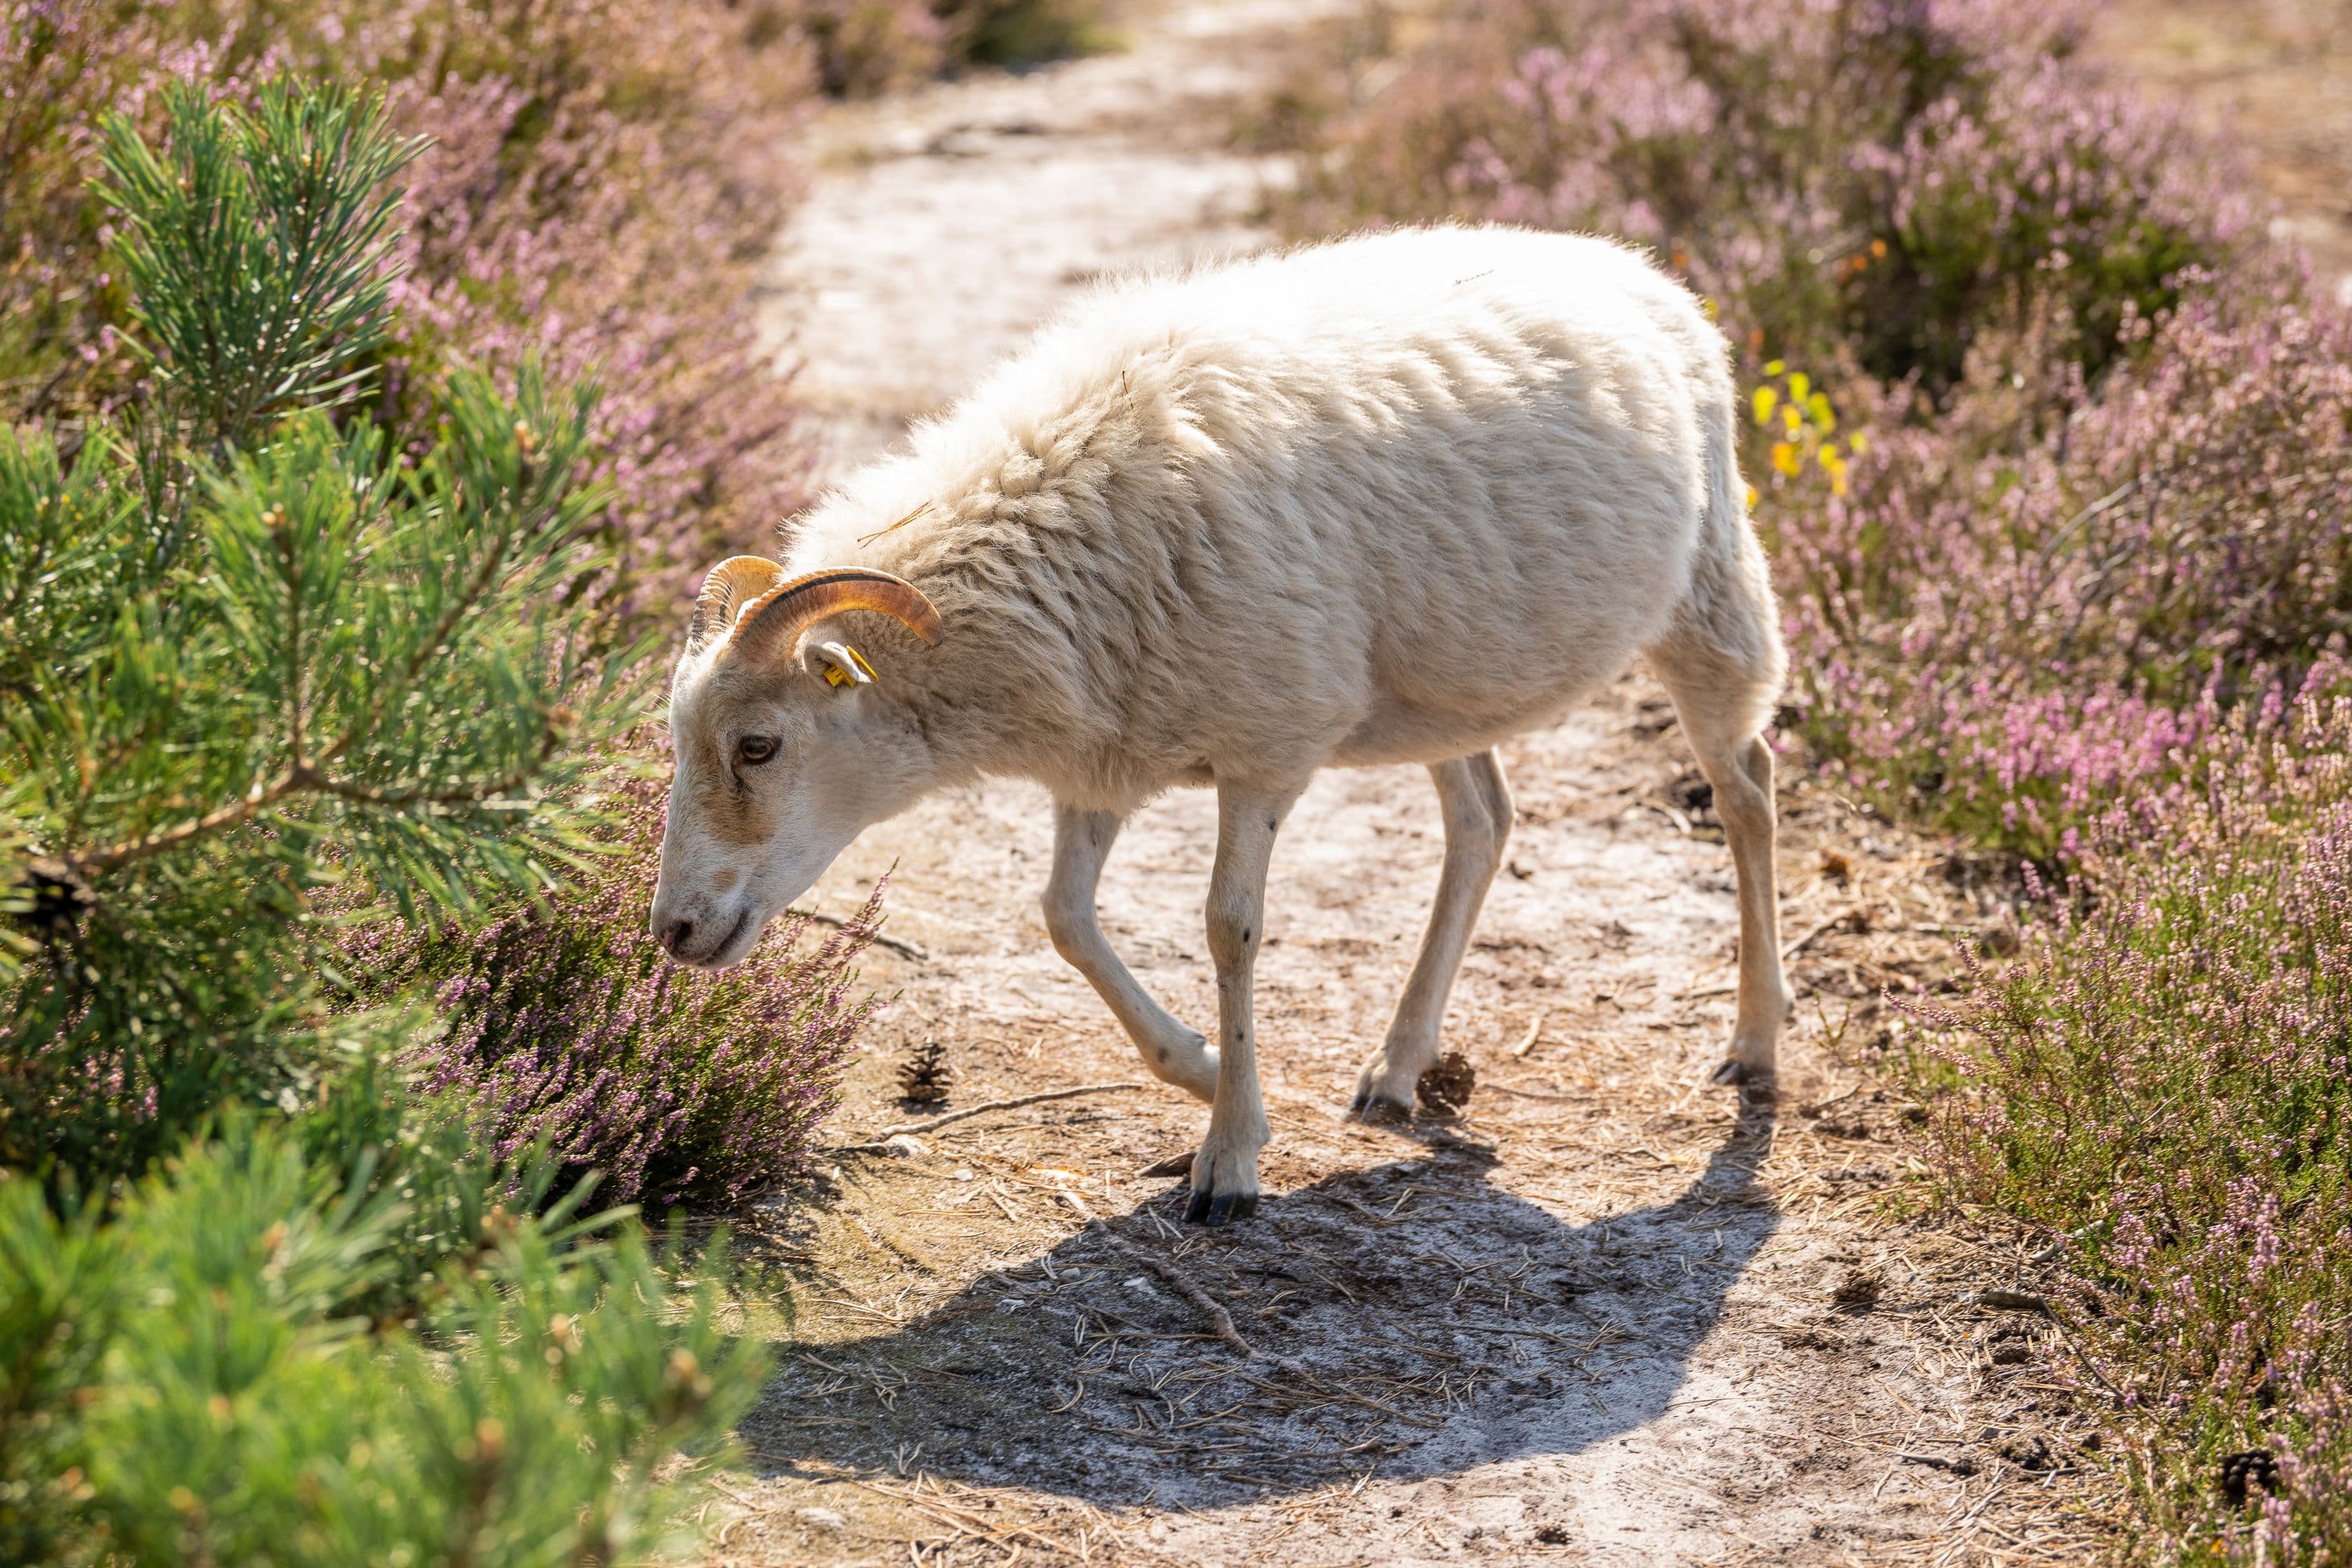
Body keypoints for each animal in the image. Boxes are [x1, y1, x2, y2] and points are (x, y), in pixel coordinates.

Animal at [644, 223, 1778, 1222]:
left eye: (759, 744)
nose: (674, 932)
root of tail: (1627, 261)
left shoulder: (1267, 746)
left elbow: (1229, 928)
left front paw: (1230, 1152)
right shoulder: (1104, 752)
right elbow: (1064, 918)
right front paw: (1194, 1065)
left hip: (1711, 585)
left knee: (1747, 788)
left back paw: (1757, 1043)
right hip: (1444, 685)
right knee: (1483, 821)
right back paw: (1399, 1065)